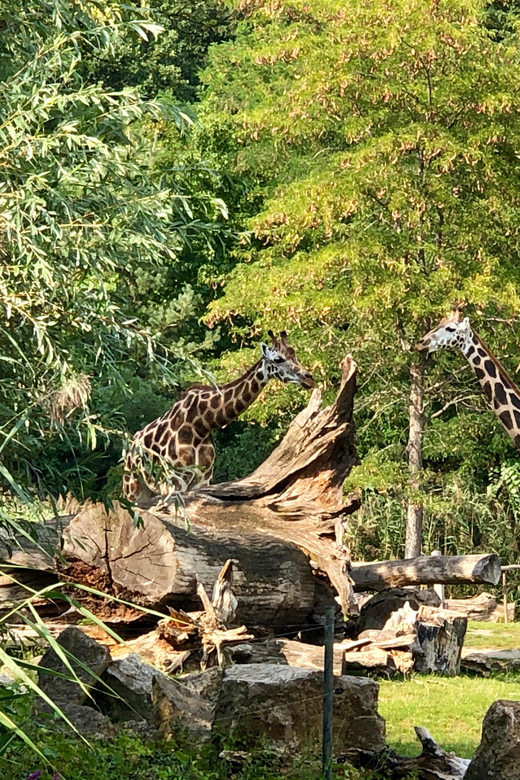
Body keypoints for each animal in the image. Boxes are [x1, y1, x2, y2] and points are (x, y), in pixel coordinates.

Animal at [123, 328, 314, 500]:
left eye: (295, 355)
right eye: (278, 359)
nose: (309, 378)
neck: (201, 425)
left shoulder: (203, 480)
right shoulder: (175, 480)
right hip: (133, 486)